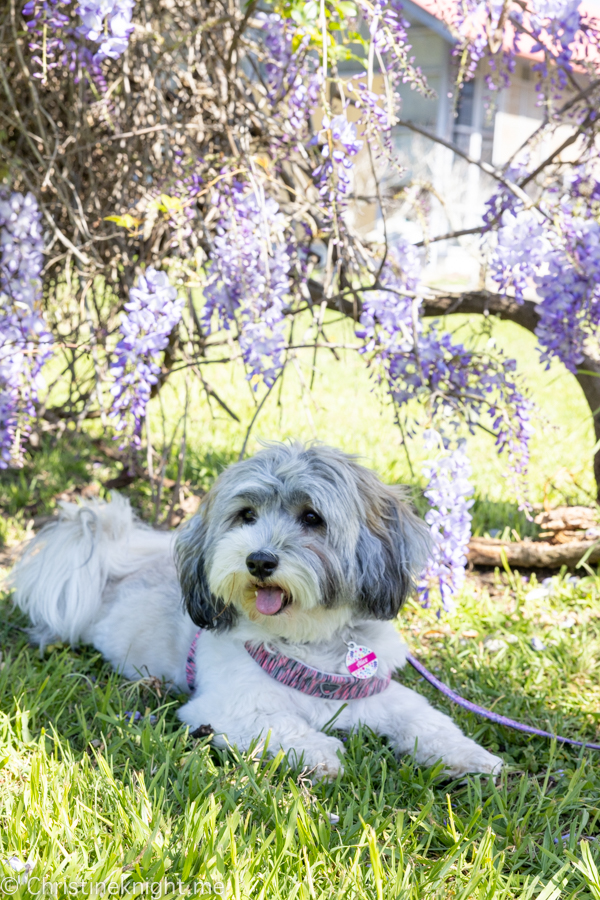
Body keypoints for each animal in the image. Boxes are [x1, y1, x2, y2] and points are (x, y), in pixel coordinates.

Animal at [9, 442, 504, 780]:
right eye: (246, 515)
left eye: (312, 518)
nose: (259, 560)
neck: (306, 643)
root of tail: (114, 556)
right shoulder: (224, 709)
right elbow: (281, 724)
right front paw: (322, 753)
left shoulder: (380, 691)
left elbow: (427, 719)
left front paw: (470, 757)